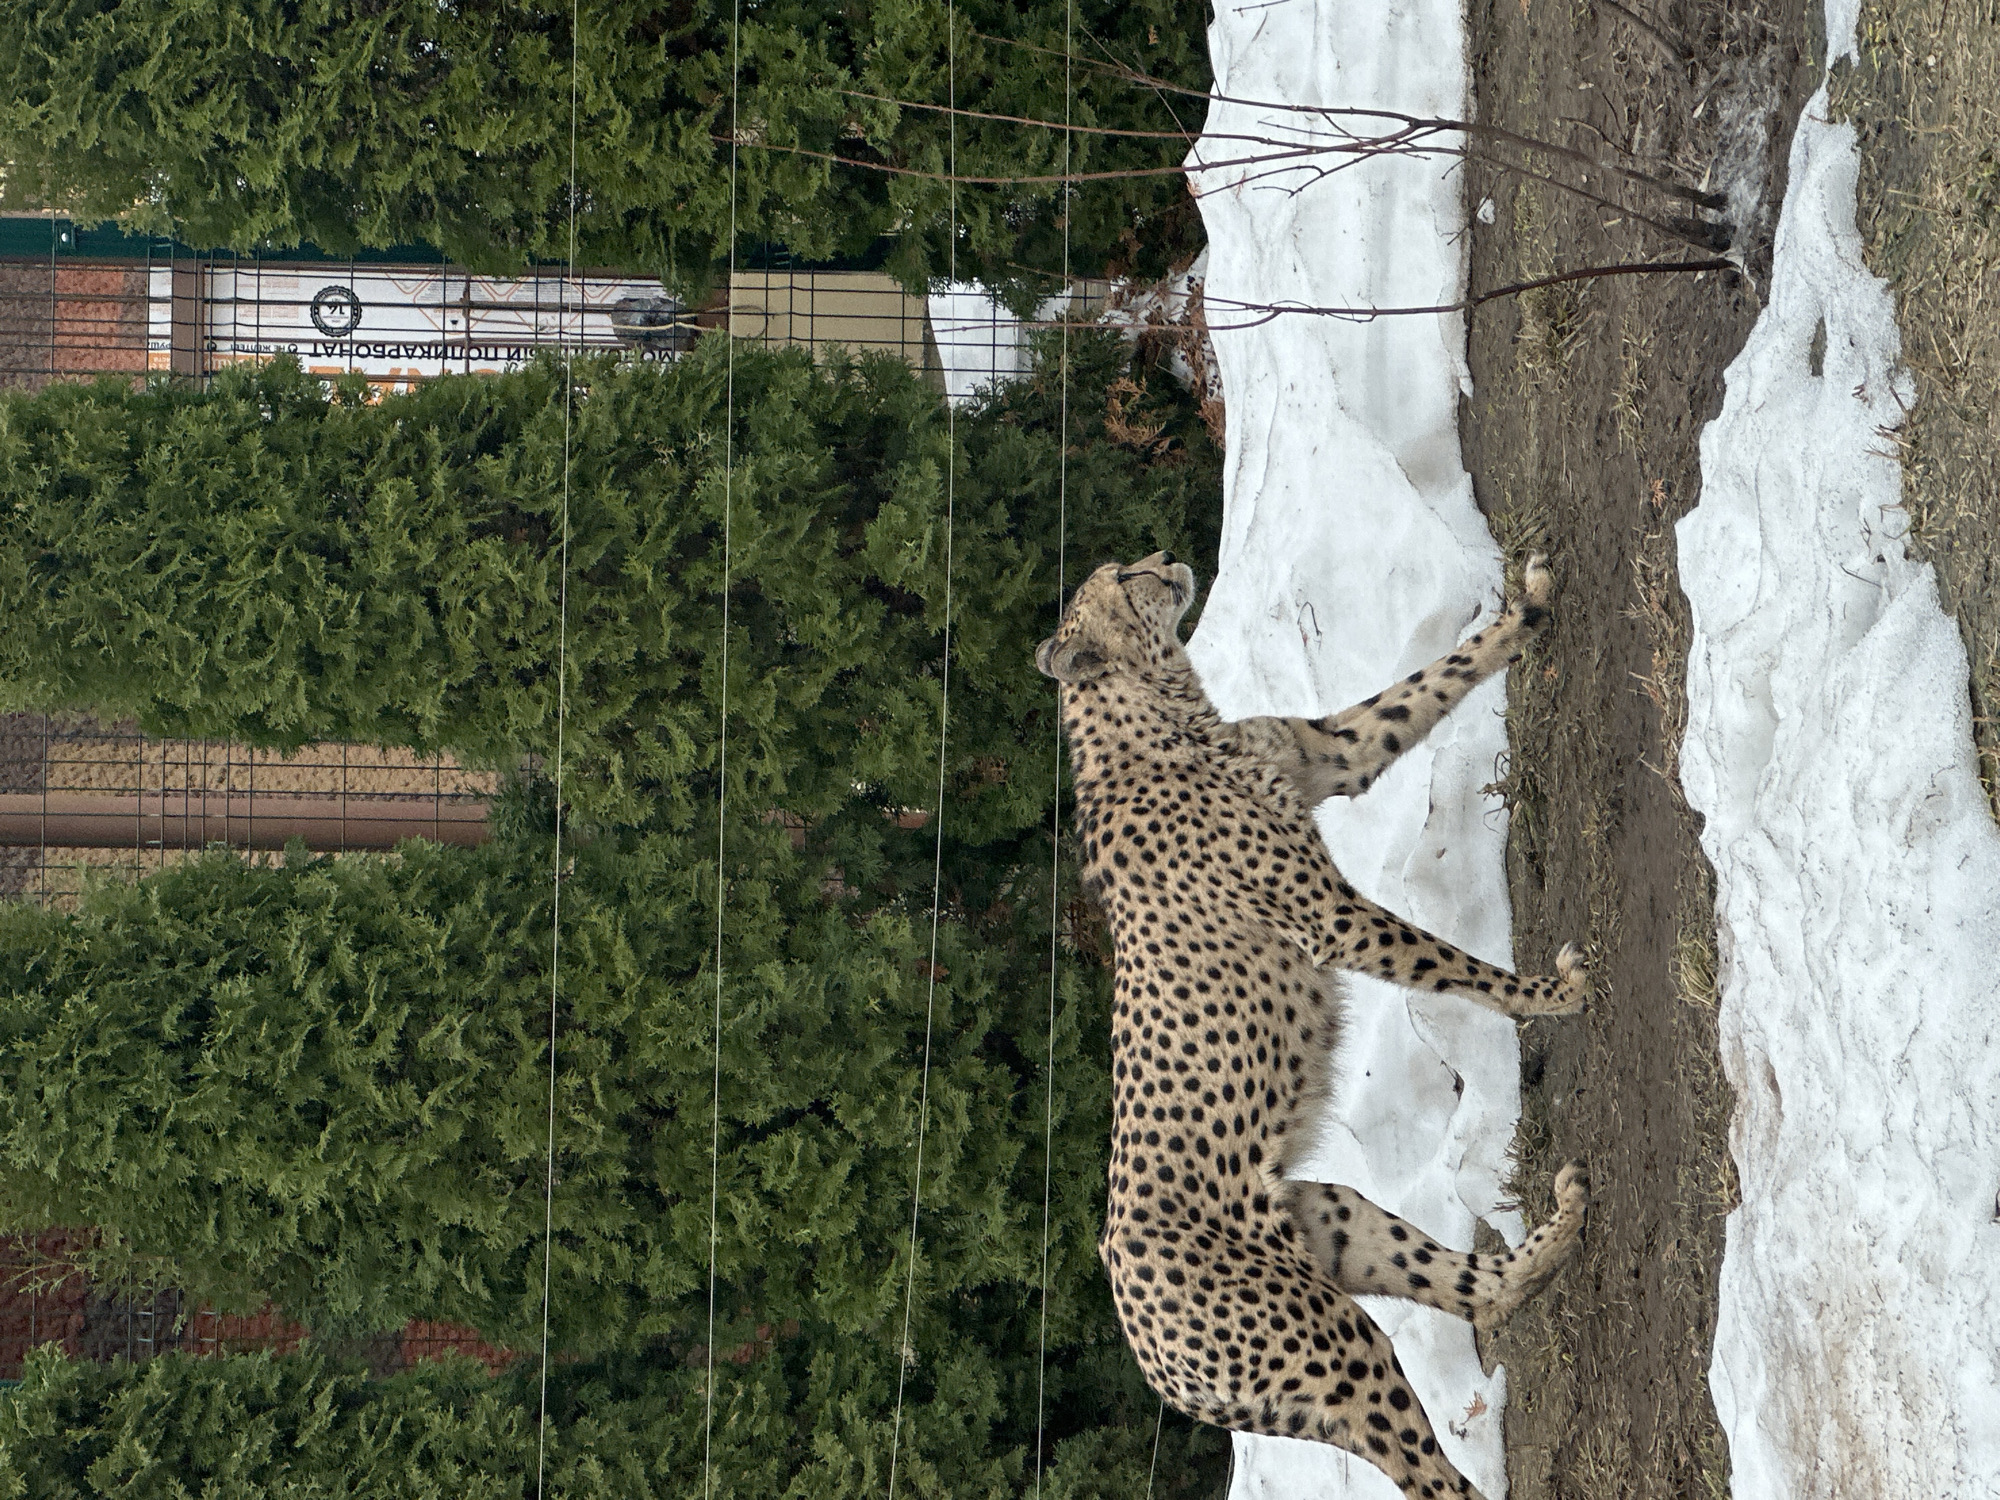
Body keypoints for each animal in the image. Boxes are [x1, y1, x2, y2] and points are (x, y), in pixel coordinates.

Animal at [1036, 549, 1590, 1500]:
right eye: (1126, 579)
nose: (1168, 560)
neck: (1154, 714)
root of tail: (1148, 1356)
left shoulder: (1332, 756)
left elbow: (1424, 686)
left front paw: (1529, 611)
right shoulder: (1329, 918)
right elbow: (1450, 965)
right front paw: (1549, 998)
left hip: (1325, 1217)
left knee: (1479, 1292)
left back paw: (1559, 1228)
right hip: (1330, 1343)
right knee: (1434, 1481)